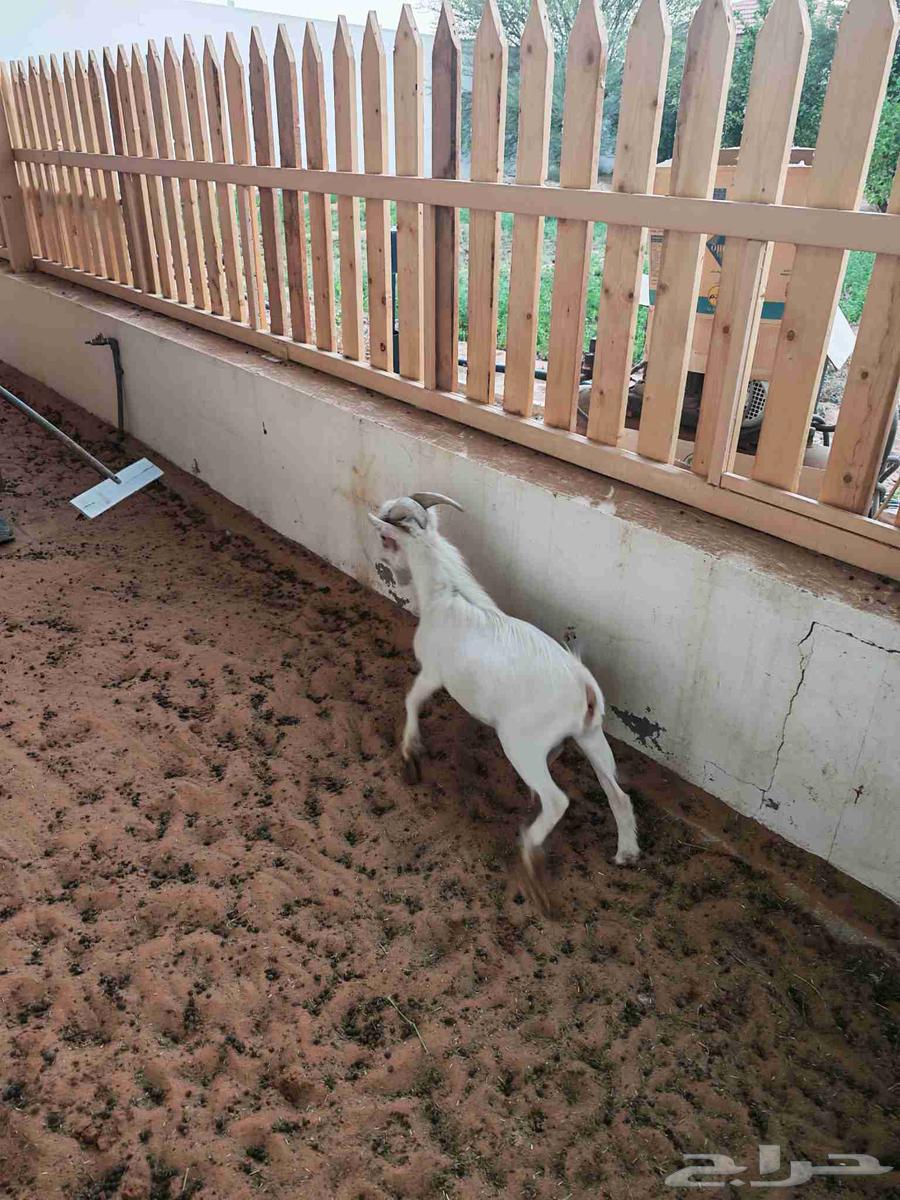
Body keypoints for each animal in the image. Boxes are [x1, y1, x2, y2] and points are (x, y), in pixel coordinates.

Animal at [368, 492, 640, 902]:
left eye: (386, 539)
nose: (379, 562)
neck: (446, 596)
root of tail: (584, 685)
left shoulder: (434, 673)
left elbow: (412, 701)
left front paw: (411, 754)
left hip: (520, 743)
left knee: (558, 800)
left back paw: (531, 855)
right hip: (591, 737)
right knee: (618, 794)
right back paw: (625, 853)